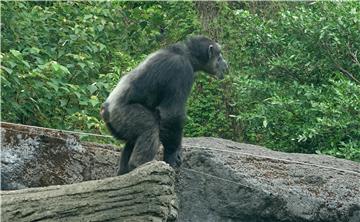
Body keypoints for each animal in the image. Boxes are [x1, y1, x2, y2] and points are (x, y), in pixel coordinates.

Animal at [100, 36, 228, 175]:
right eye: (219, 55)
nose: (225, 62)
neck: (187, 54)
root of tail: (105, 111)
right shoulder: (181, 70)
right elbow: (172, 114)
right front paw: (172, 154)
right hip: (121, 115)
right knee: (149, 127)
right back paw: (140, 165)